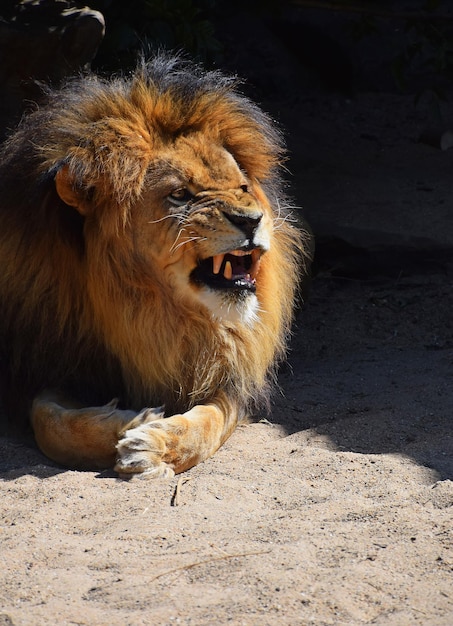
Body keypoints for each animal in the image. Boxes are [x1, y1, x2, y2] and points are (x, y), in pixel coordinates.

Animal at [0, 53, 308, 476]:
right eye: (180, 195)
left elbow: (206, 426)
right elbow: (50, 424)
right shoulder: (41, 363)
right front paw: (131, 421)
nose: (252, 220)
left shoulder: (227, 373)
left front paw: (155, 444)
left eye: (242, 187)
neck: (144, 311)